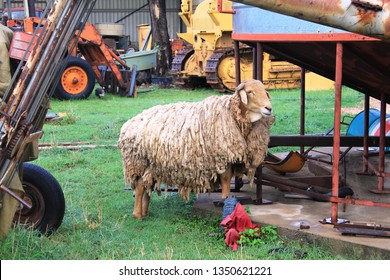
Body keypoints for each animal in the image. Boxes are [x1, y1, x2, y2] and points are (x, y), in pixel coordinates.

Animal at [118, 78, 274, 219]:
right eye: (250, 92)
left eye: (264, 91)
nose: (269, 108)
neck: (231, 114)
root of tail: (128, 124)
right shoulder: (222, 156)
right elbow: (226, 178)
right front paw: (226, 198)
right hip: (139, 162)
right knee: (140, 187)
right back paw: (138, 215)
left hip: (152, 165)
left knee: (147, 186)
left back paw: (145, 212)